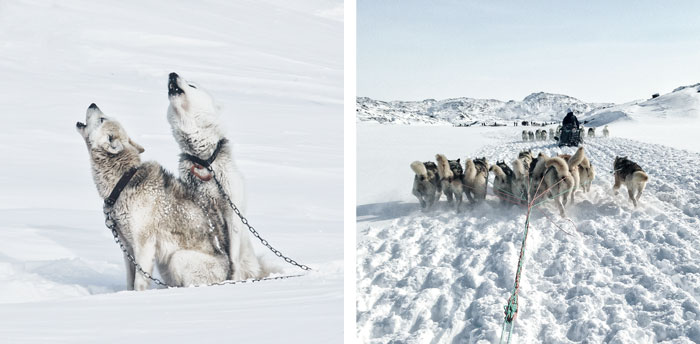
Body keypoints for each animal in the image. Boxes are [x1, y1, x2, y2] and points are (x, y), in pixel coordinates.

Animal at [76, 105, 230, 290]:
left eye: (102, 119)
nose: (93, 104)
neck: (123, 182)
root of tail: (228, 276)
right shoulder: (127, 247)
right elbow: (130, 281)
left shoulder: (144, 246)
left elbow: (139, 283)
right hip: (165, 265)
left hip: (176, 258)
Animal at [165, 72, 272, 280]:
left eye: (192, 85)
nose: (172, 74)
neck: (205, 162)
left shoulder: (232, 211)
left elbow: (233, 256)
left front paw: (233, 279)